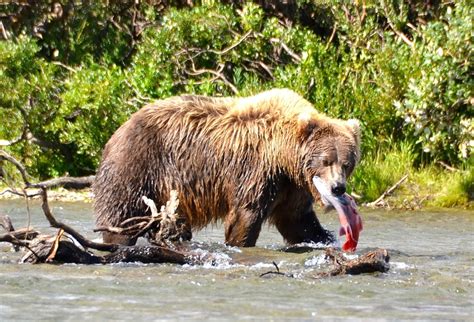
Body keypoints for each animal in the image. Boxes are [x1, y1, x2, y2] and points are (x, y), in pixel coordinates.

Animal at [92, 89, 362, 248]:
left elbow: (297, 220)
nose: (337, 188)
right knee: (123, 213)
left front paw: (323, 238)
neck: (283, 155)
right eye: (326, 160)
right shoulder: (257, 169)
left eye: (347, 163)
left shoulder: (292, 185)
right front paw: (240, 242)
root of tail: (118, 129)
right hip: (137, 165)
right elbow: (245, 214)